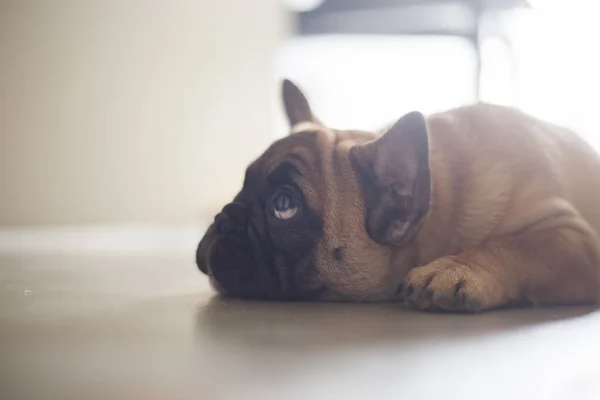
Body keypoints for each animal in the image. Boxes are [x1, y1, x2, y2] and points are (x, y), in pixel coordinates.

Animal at [197, 80, 600, 312]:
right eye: (242, 185)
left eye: (284, 206)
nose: (223, 219)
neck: (443, 199)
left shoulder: (574, 239)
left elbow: (518, 246)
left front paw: (457, 268)